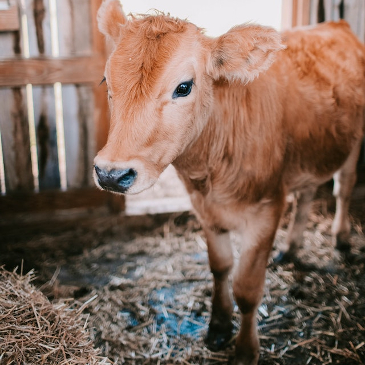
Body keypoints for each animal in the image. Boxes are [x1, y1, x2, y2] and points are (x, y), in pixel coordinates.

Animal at [93, 1, 364, 362]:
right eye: (106, 81)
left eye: (183, 87)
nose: (111, 173)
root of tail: (336, 25)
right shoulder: (205, 210)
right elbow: (220, 268)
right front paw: (219, 325)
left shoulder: (267, 209)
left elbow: (247, 289)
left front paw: (246, 350)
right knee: (307, 194)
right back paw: (291, 248)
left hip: (354, 141)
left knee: (343, 188)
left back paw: (342, 239)